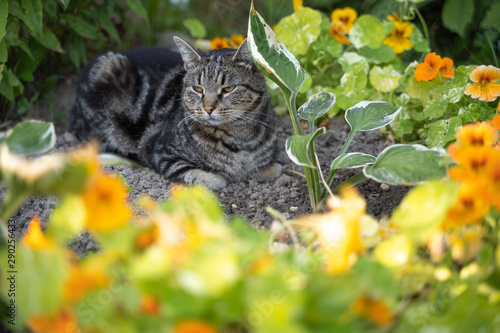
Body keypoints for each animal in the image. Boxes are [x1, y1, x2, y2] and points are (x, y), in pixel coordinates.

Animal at [70, 37, 282, 188]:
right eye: (198, 89)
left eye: (228, 89)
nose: (208, 108)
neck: (239, 138)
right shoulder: (158, 150)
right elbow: (198, 174)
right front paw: (218, 176)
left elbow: (272, 166)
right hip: (108, 70)